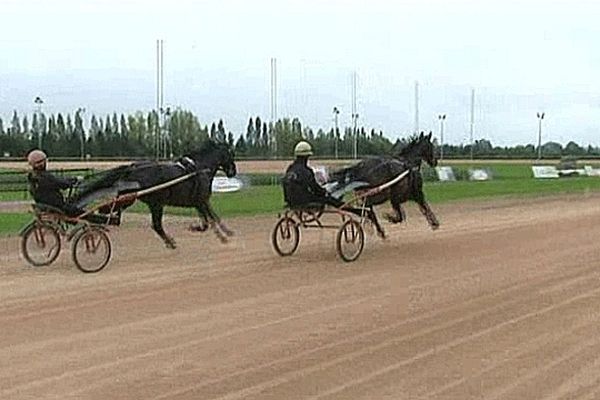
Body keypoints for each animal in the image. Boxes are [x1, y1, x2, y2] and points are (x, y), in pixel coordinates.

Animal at [74, 139, 236, 248]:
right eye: (230, 154)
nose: (233, 171)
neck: (200, 168)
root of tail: (132, 168)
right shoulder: (200, 200)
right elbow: (208, 222)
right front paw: (198, 228)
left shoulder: (200, 202)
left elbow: (213, 217)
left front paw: (226, 233)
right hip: (151, 203)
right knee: (156, 225)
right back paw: (170, 242)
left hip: (140, 201)